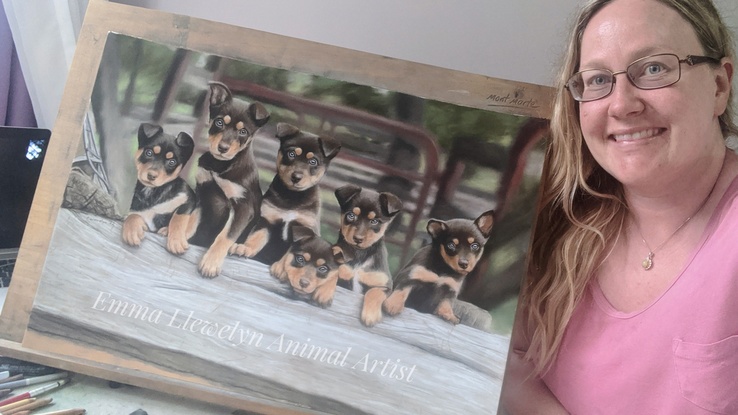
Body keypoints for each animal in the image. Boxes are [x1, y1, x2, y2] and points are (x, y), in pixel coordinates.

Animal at [121, 122, 196, 255]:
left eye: (172, 162)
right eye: (149, 153)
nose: (151, 176)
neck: (152, 193)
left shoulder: (189, 199)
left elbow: (178, 218)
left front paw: (176, 241)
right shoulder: (140, 214)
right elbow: (132, 216)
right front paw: (132, 232)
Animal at [190, 81, 270, 280]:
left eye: (243, 131)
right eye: (219, 122)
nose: (223, 148)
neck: (220, 166)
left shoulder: (243, 207)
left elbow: (225, 236)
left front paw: (210, 263)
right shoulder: (203, 194)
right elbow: (191, 220)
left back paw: (242, 249)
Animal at [229, 122, 340, 264]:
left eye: (313, 161)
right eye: (291, 154)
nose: (296, 177)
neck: (292, 196)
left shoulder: (306, 226)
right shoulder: (267, 220)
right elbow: (255, 238)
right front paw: (244, 248)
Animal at [334, 186, 402, 328]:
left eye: (374, 221)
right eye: (351, 215)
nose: (358, 239)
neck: (360, 254)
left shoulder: (385, 285)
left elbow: (374, 292)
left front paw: (370, 316)